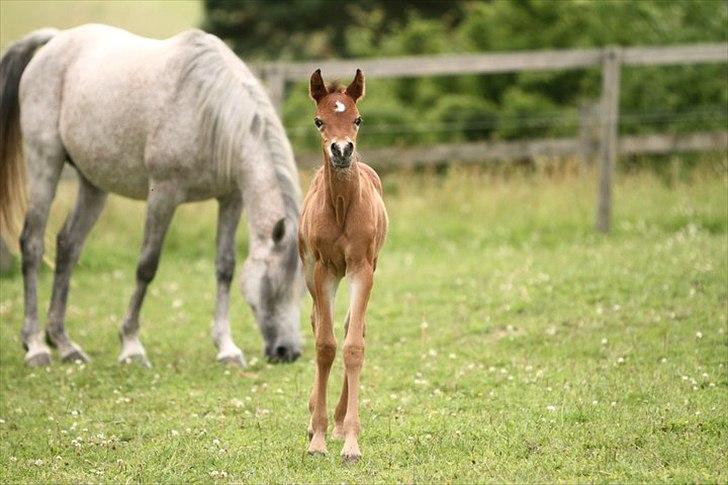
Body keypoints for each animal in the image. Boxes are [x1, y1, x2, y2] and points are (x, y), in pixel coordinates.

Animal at [0, 24, 304, 366]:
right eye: (271, 284)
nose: (288, 351)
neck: (207, 107)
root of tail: (55, 41)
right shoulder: (164, 195)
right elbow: (147, 265)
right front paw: (131, 346)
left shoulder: (231, 199)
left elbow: (225, 267)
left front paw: (227, 347)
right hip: (45, 164)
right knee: (32, 244)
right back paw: (36, 345)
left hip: (93, 185)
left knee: (68, 247)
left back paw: (65, 345)